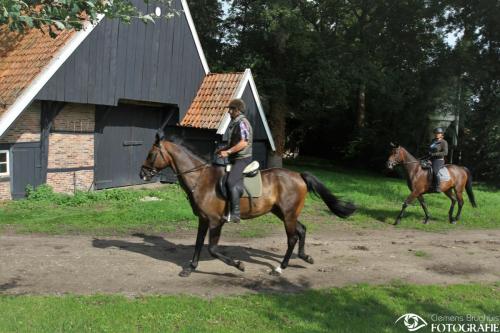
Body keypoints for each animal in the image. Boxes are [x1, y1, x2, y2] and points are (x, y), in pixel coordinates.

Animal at [139, 136, 354, 276]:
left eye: (151, 154)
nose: (142, 174)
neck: (201, 179)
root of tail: (298, 175)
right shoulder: (204, 219)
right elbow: (199, 243)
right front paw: (190, 268)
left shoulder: (216, 221)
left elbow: (213, 249)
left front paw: (239, 265)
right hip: (283, 213)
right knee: (301, 230)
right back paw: (305, 257)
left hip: (288, 214)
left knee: (292, 237)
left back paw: (280, 268)